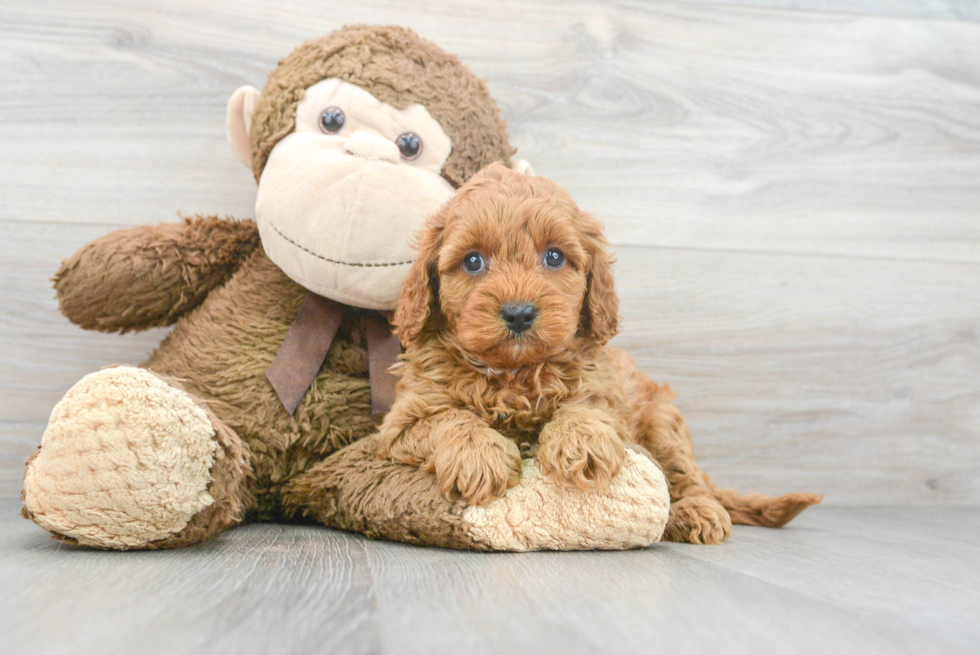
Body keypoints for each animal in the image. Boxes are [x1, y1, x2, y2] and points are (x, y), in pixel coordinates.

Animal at [378, 165, 824, 548]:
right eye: (473, 261)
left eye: (554, 257)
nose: (519, 313)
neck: (515, 373)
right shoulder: (402, 422)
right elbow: (449, 419)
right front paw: (479, 457)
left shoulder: (605, 391)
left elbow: (587, 408)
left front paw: (581, 443)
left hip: (664, 425)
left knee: (687, 475)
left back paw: (696, 512)